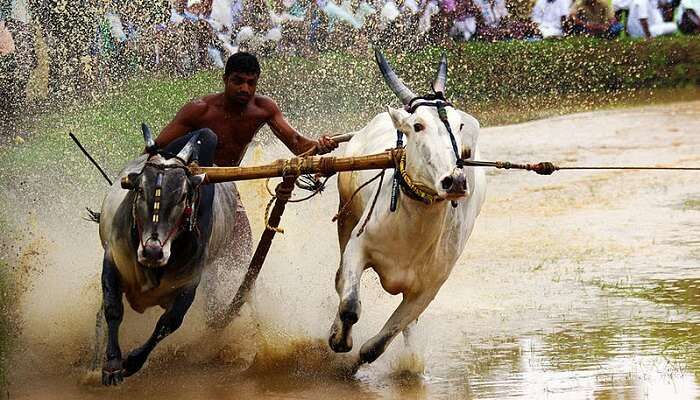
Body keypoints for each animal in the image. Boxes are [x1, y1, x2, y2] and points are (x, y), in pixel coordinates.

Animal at [330, 50, 486, 366]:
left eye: (459, 126)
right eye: (417, 126)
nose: (455, 180)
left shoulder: (430, 287)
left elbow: (380, 342)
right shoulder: (357, 246)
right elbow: (350, 304)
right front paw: (339, 341)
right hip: (346, 216)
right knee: (340, 281)